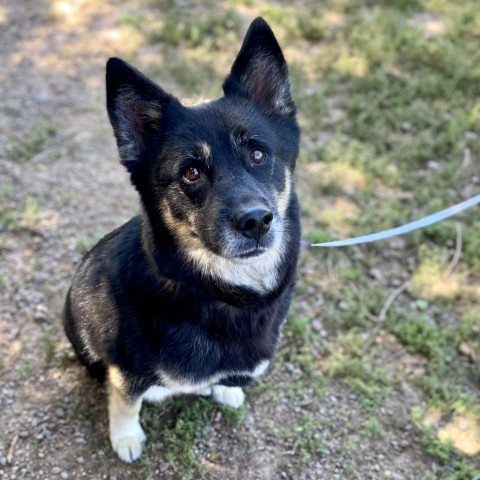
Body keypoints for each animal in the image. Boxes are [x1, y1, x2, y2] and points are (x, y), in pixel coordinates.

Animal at [63, 16, 300, 464]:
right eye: (191, 172)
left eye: (258, 154)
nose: (256, 221)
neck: (218, 291)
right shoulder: (127, 369)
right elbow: (125, 400)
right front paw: (126, 437)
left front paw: (227, 389)